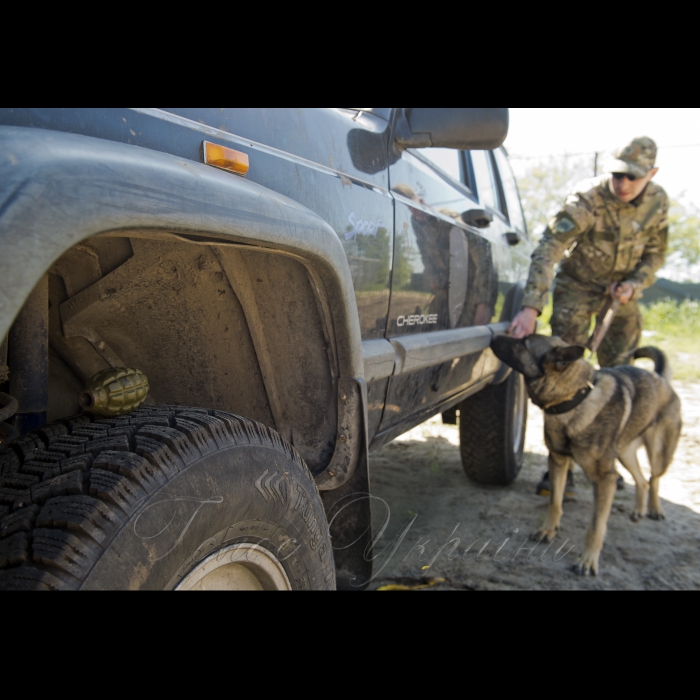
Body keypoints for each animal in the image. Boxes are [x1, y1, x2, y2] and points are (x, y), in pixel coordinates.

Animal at [490, 336, 680, 576]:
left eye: (522, 343)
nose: (494, 336)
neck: (575, 399)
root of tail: (661, 379)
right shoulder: (558, 461)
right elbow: (555, 502)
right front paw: (547, 530)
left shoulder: (605, 480)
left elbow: (596, 525)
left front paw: (588, 560)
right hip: (624, 455)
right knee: (642, 480)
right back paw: (639, 509)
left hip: (658, 454)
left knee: (654, 478)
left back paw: (654, 509)